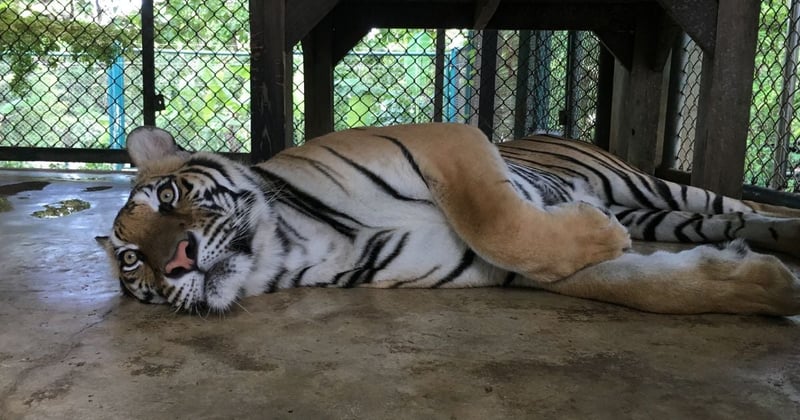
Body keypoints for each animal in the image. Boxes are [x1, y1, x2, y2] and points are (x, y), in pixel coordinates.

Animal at [96, 123, 800, 316]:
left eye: (166, 196)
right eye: (132, 262)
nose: (176, 261)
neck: (299, 246)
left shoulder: (445, 139)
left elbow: (500, 220)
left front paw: (595, 228)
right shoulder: (494, 268)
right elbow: (635, 284)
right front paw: (765, 286)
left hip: (647, 184)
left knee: (742, 204)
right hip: (666, 214)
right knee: (728, 223)